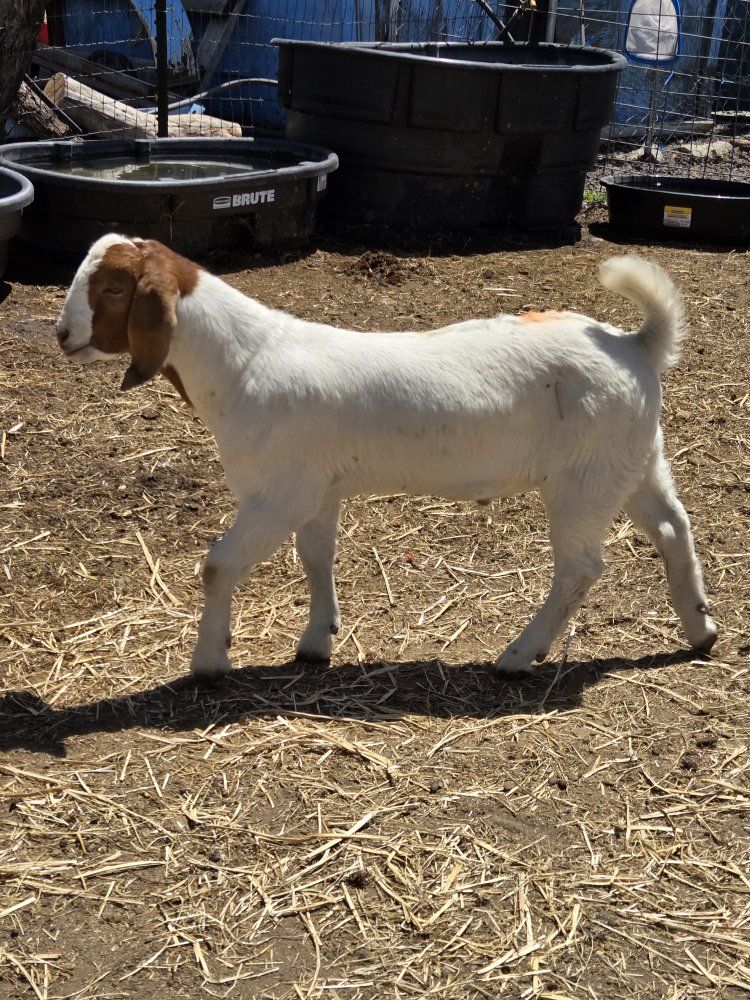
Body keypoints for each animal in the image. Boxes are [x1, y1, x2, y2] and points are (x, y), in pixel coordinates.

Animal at [55, 234, 717, 678]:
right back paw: (700, 627)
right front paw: (317, 639)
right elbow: (316, 558)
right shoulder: (317, 491)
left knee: (580, 567)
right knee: (672, 526)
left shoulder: (279, 493)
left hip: (583, 478)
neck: (242, 362)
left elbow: (219, 566)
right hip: (632, 459)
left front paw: (209, 661)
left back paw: (518, 654)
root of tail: (635, 345)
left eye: (112, 286)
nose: (62, 335)